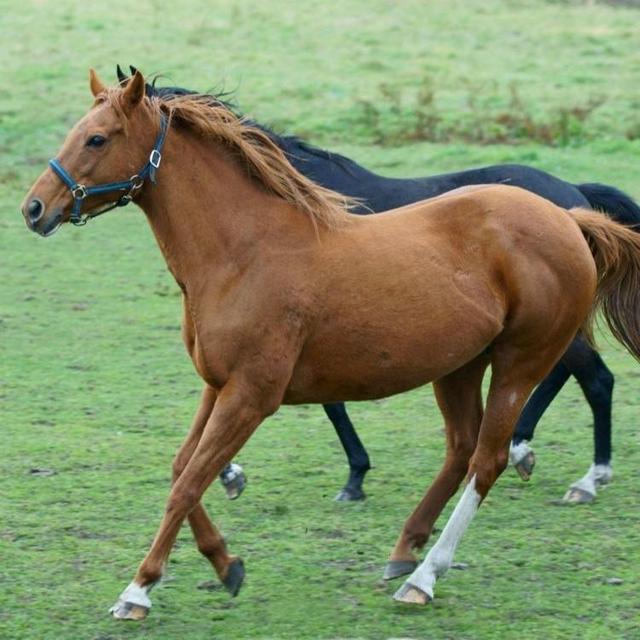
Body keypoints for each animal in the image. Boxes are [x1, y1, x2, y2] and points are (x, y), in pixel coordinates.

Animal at [121, 66, 640, 504]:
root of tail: (572, 201)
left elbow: (330, 404)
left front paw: (351, 475)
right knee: (563, 375)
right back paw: (522, 449)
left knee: (595, 379)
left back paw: (586, 478)